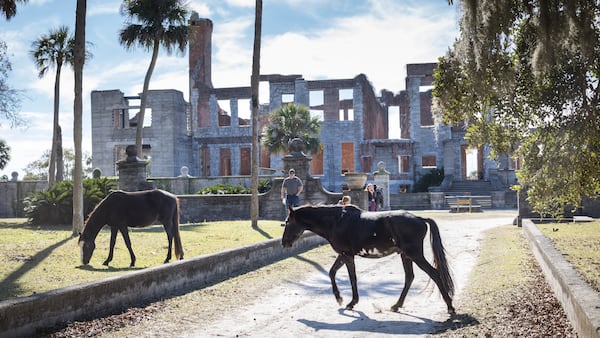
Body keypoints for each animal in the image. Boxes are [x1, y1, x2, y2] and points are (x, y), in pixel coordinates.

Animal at [282, 205, 454, 316]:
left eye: (288, 222)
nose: (284, 242)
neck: (336, 220)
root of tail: (419, 218)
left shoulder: (347, 255)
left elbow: (352, 278)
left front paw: (349, 302)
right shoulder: (344, 255)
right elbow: (332, 272)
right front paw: (339, 298)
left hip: (414, 254)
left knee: (435, 274)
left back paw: (450, 306)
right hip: (406, 255)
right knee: (409, 277)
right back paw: (396, 305)